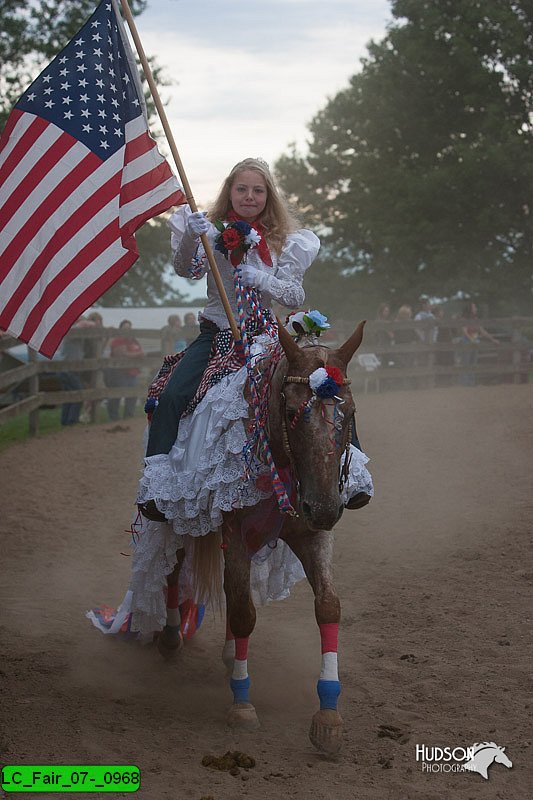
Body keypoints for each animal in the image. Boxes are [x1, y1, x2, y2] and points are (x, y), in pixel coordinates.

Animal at [153, 320, 366, 756]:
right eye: (292, 412)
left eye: (349, 413)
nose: (324, 507)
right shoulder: (235, 533)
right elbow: (242, 613)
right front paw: (241, 704)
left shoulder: (312, 535)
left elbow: (328, 607)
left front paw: (328, 716)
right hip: (178, 519)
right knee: (175, 569)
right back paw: (170, 636)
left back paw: (227, 651)